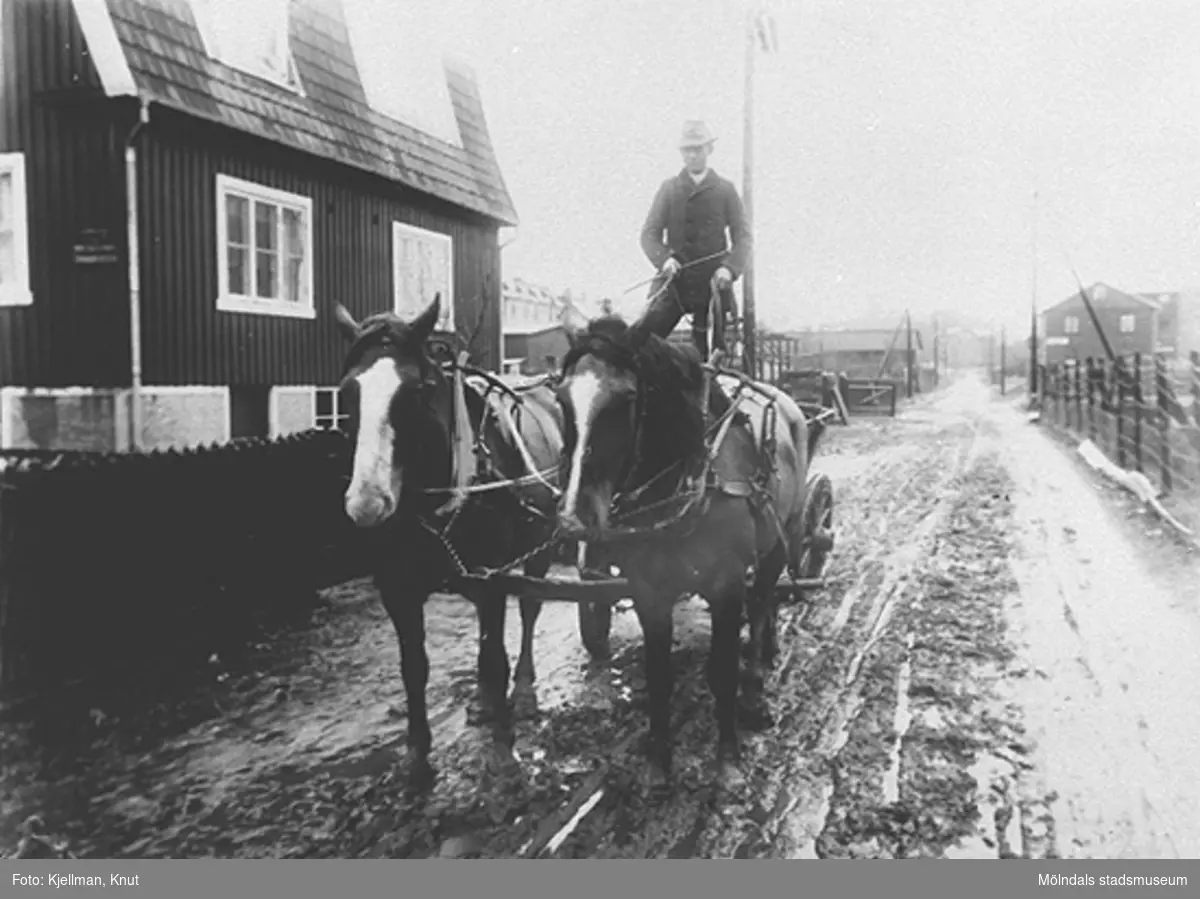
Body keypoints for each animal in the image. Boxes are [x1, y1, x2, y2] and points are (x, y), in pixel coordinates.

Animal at [333, 294, 566, 787]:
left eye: (416, 391)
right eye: (346, 392)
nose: (367, 502)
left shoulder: (494, 579)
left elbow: (495, 658)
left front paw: (503, 752)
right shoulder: (398, 589)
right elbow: (414, 667)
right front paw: (416, 755)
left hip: (538, 551)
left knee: (529, 611)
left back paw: (524, 689)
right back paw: (482, 702)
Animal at [554, 314, 820, 792]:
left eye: (626, 399)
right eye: (561, 399)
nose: (573, 519)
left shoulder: (727, 584)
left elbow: (722, 669)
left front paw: (728, 758)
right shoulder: (648, 590)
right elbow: (658, 675)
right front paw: (658, 761)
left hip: (783, 536)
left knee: (763, 599)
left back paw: (755, 687)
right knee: (764, 604)